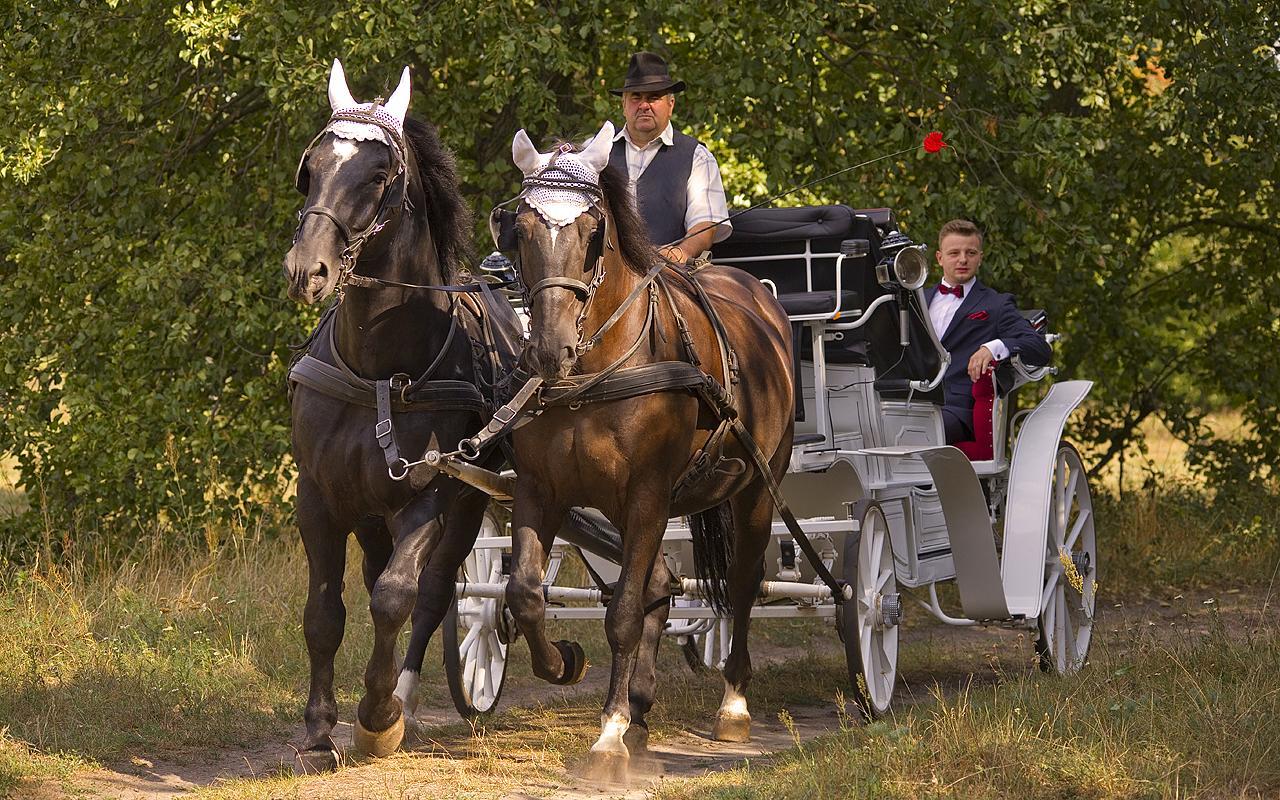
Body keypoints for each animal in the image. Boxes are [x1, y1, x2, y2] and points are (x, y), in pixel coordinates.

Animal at [282, 60, 517, 762]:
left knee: (436, 591)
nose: (307, 270)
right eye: (311, 166)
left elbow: (395, 597)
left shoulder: (431, 493)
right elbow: (324, 611)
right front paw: (319, 726)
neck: (378, 368)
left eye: (379, 174)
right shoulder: (319, 495)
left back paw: (403, 695)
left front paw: (376, 715)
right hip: (368, 509)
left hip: (470, 501)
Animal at [504, 120, 793, 773]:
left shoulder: (647, 495)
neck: (594, 374)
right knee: (663, 586)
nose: (549, 350)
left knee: (741, 583)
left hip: (756, 491)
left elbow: (624, 614)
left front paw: (607, 737)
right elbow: (526, 594)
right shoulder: (542, 491)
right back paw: (640, 713)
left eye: (593, 232)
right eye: (521, 229)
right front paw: (563, 661)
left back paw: (731, 706)